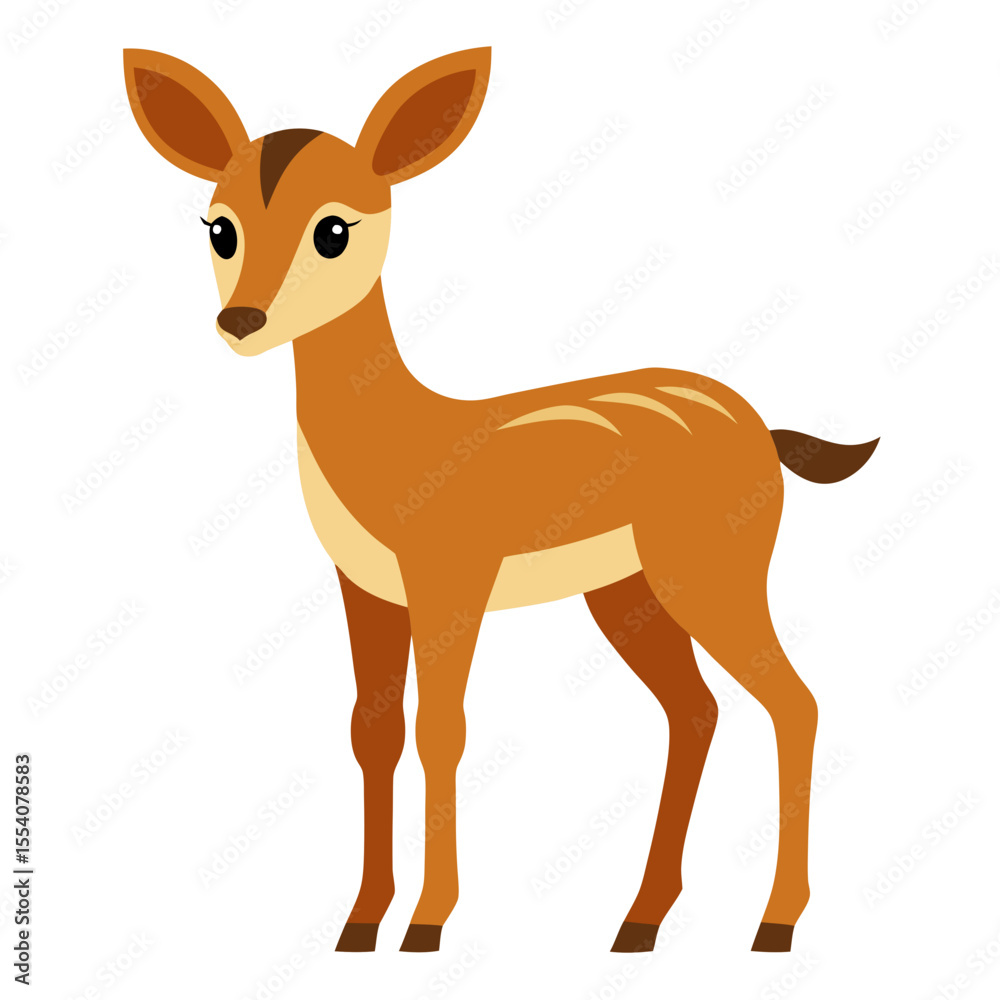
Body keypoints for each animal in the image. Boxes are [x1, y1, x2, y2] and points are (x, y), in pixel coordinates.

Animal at [123, 46, 878, 955]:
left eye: (333, 229)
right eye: (220, 227)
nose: (242, 320)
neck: (397, 438)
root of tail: (760, 427)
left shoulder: (451, 585)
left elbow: (441, 730)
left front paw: (426, 922)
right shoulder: (368, 590)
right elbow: (372, 730)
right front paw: (359, 922)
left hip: (708, 577)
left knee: (793, 702)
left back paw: (774, 923)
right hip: (626, 594)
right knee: (695, 711)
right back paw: (640, 921)